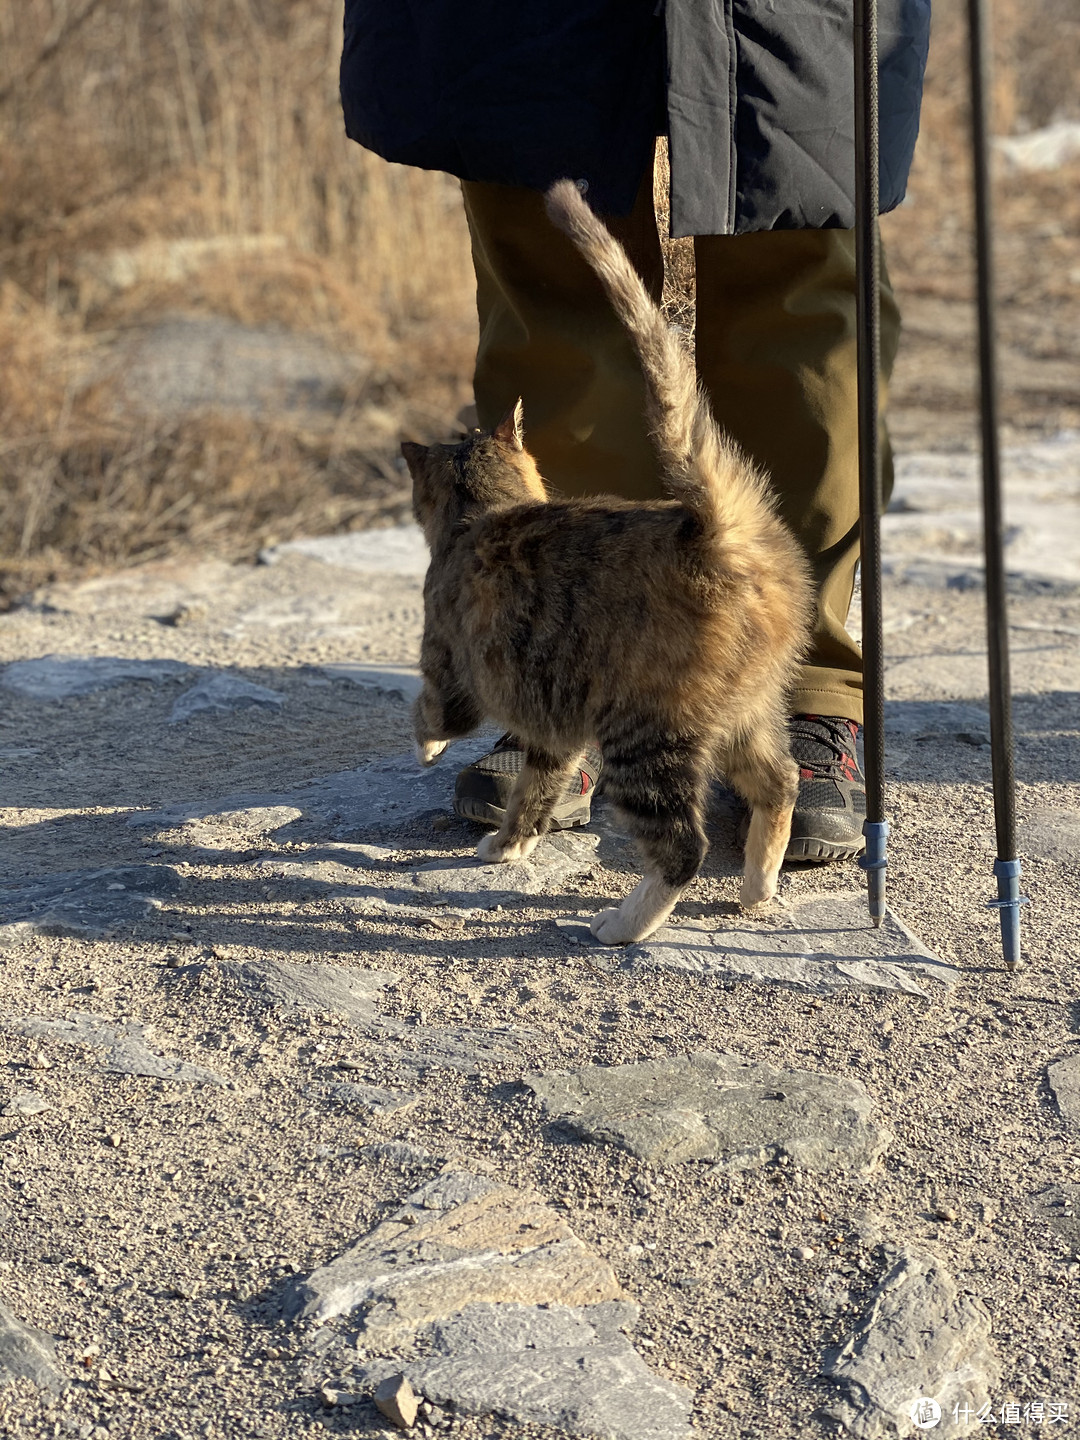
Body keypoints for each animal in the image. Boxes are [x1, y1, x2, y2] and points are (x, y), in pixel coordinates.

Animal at [403, 180, 817, 944]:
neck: (484, 515)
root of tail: (718, 530)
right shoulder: (554, 730)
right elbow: (534, 791)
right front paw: (510, 844)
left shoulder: (449, 660)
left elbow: (432, 713)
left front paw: (428, 751)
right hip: (746, 713)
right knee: (780, 785)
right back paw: (756, 887)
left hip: (644, 734)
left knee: (683, 848)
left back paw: (625, 923)